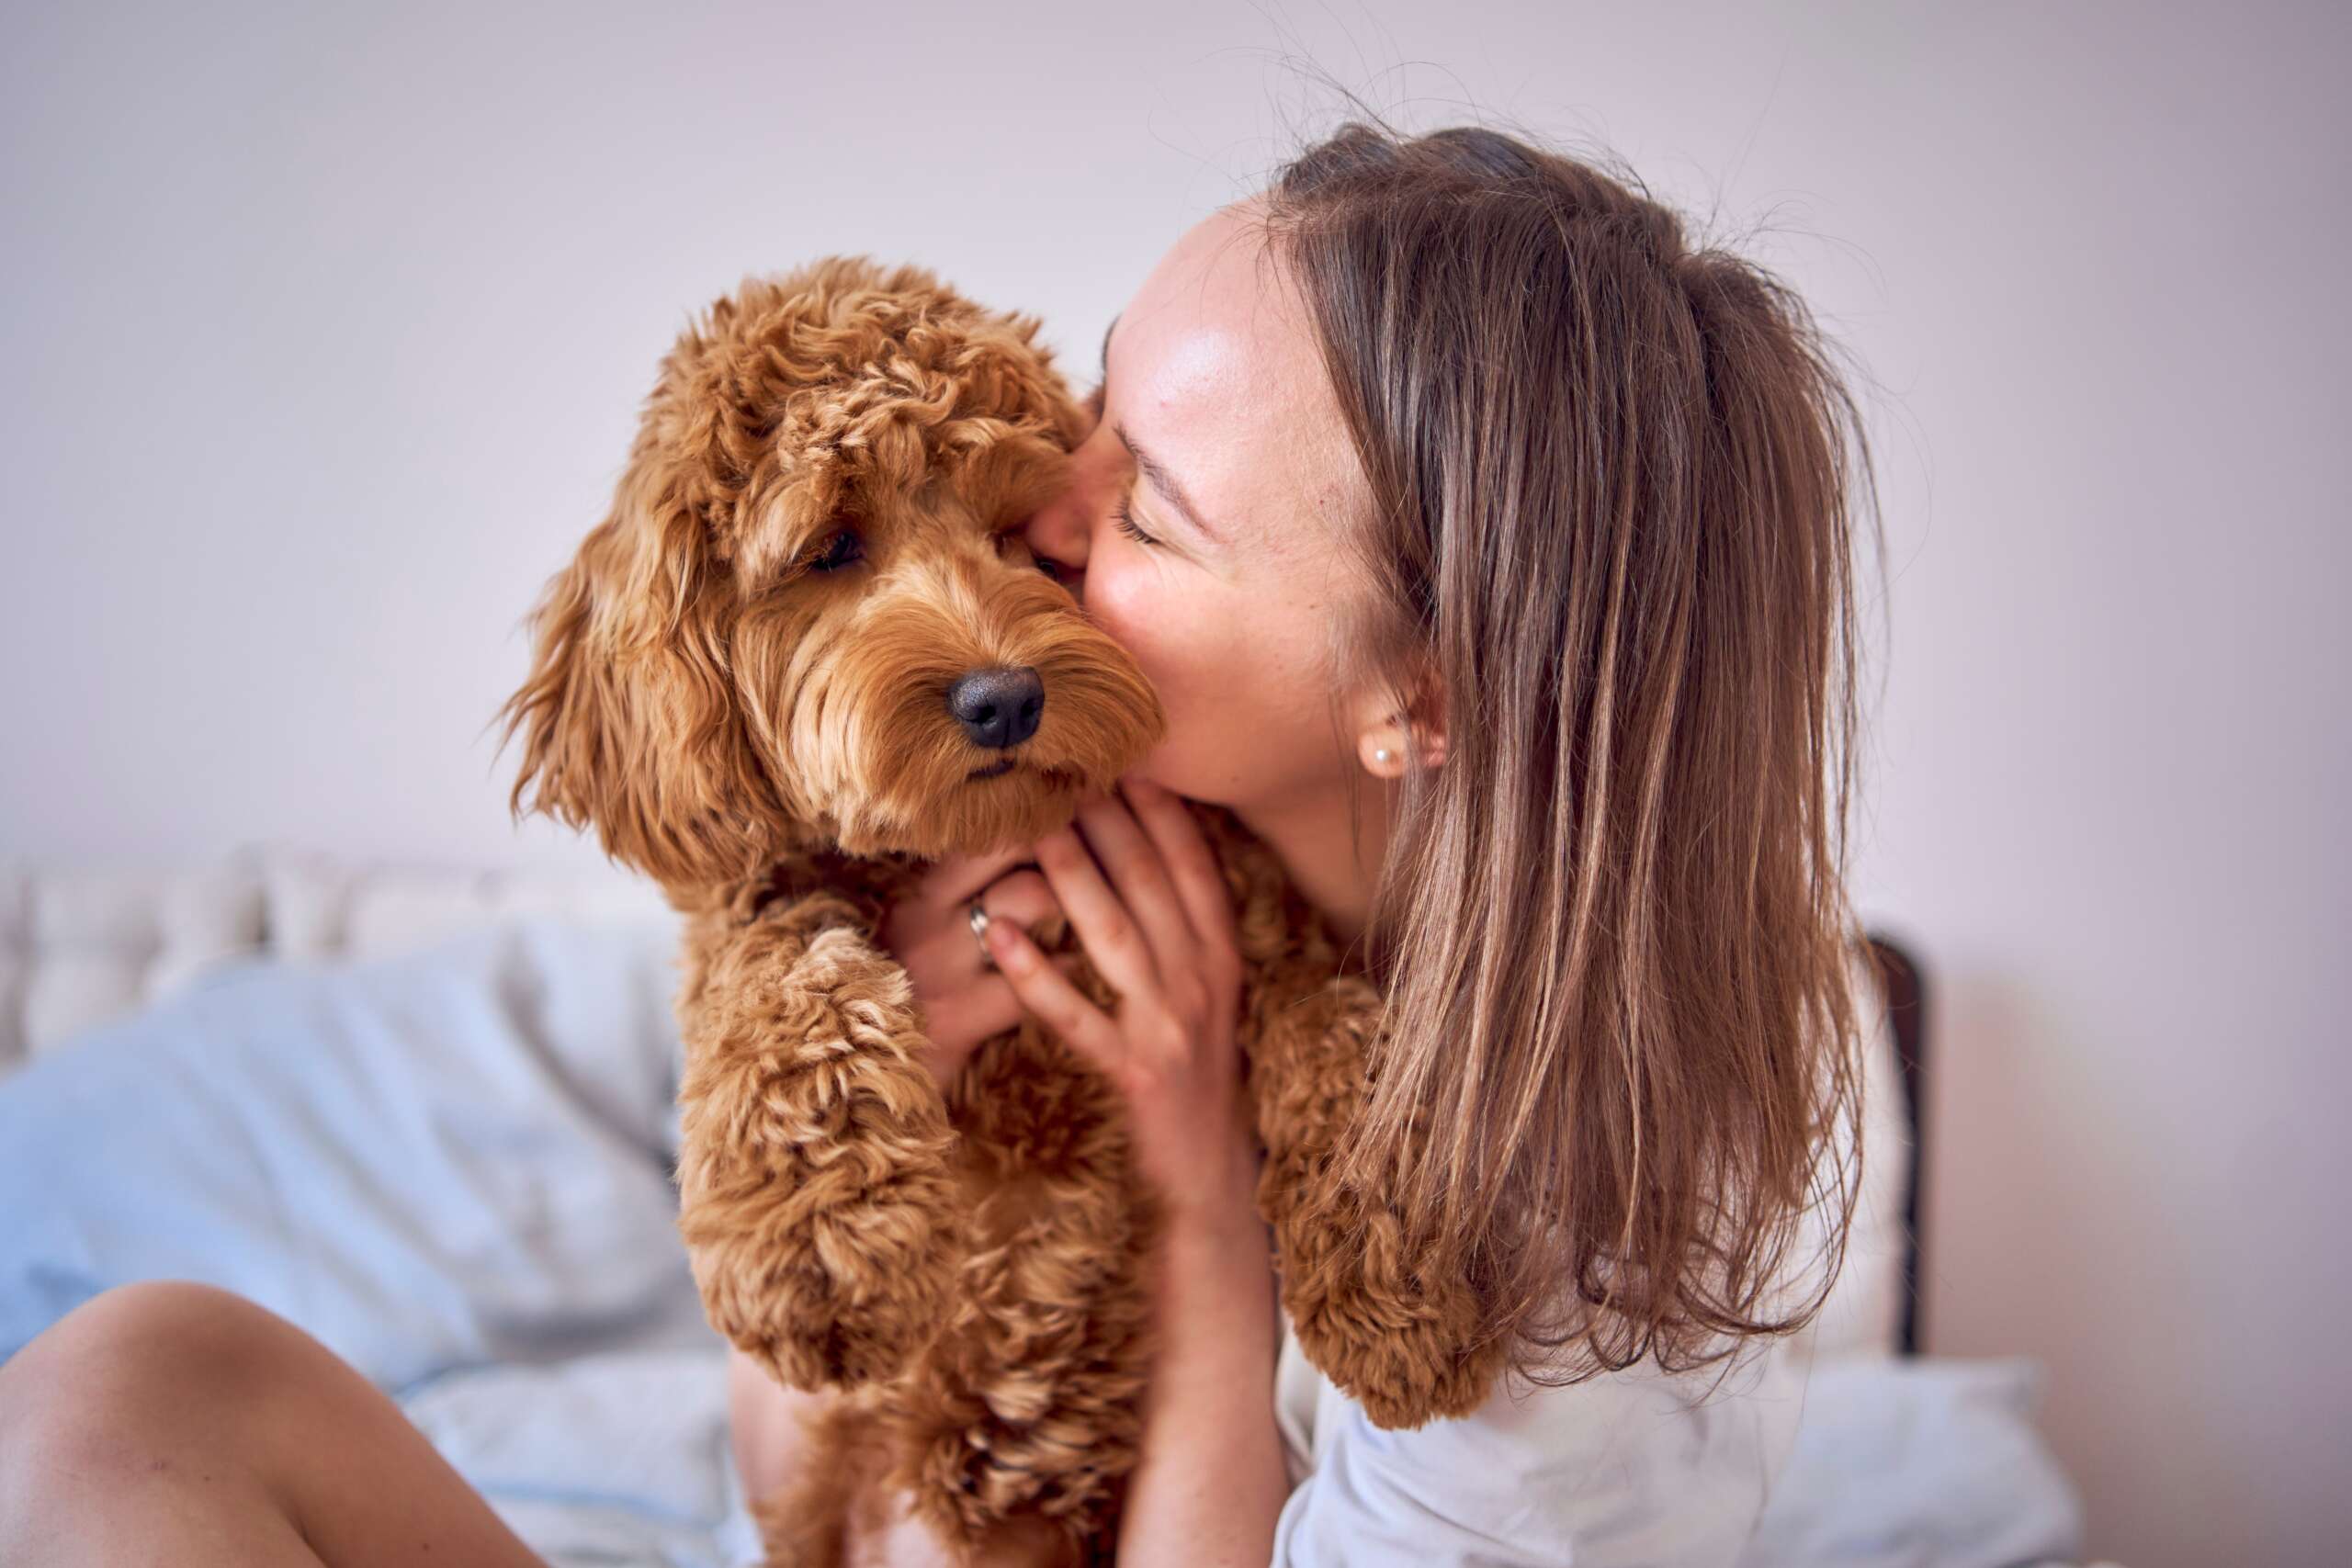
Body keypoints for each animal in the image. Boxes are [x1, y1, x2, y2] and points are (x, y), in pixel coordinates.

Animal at [492, 261, 1505, 1568]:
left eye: (1018, 533)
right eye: (831, 546)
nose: (1004, 697)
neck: (972, 843)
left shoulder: (1261, 911)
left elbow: (1338, 1042)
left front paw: (1397, 1289)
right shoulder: (753, 886)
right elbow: (780, 988)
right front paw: (816, 1240)